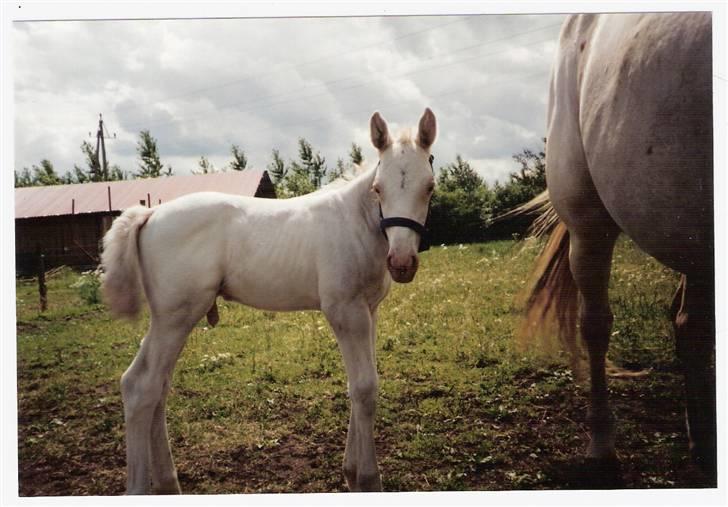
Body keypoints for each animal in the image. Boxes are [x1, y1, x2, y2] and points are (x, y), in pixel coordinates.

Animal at [99, 109, 436, 494]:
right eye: (378, 188)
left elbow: (362, 383)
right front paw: (367, 479)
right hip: (175, 318)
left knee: (151, 385)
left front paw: (351, 472)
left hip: (167, 321)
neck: (356, 224)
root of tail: (150, 214)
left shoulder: (370, 310)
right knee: (144, 387)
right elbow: (365, 388)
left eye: (429, 187)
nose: (402, 263)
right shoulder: (345, 311)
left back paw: (168, 483)